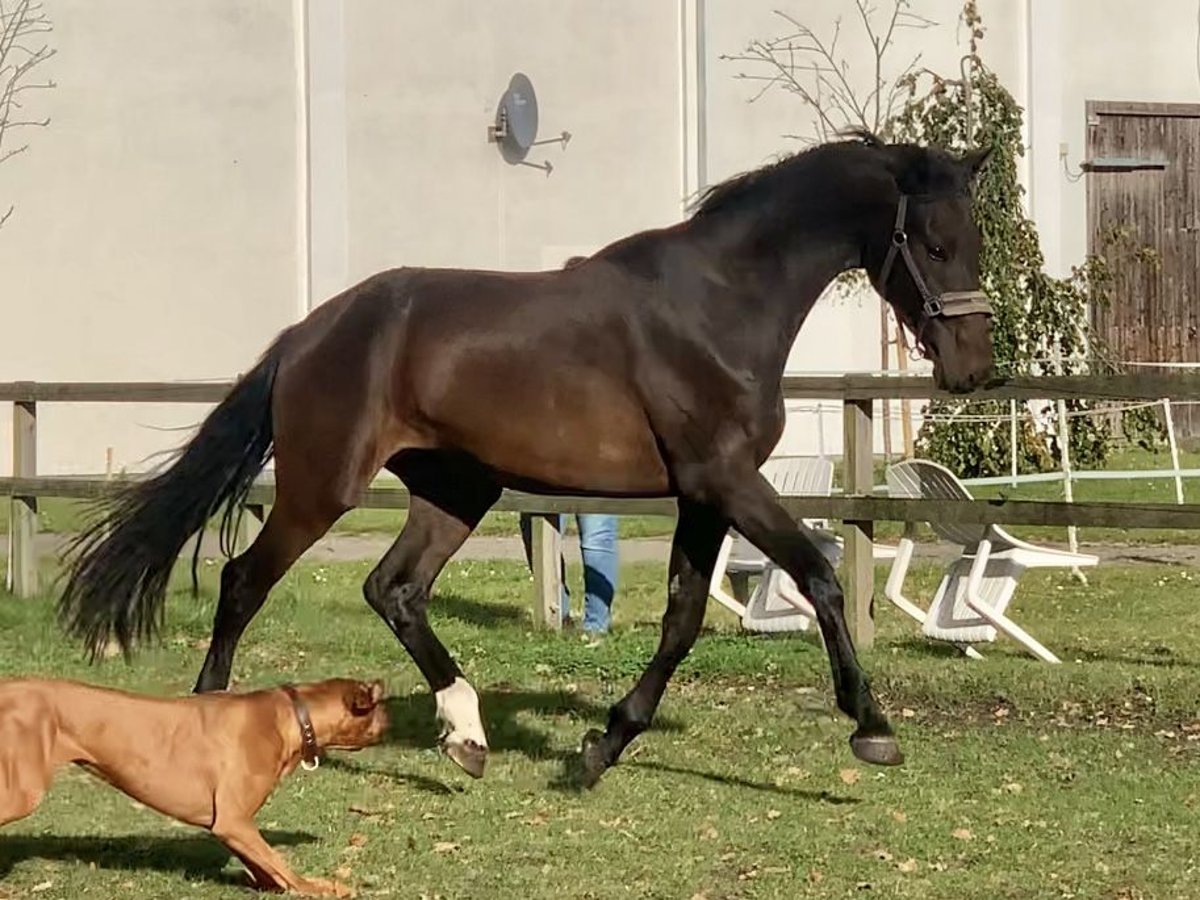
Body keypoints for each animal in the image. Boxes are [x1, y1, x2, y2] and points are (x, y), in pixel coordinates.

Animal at [0, 681, 386, 897]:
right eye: (380, 707)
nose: (390, 719)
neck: (293, 715)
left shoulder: (232, 827)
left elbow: (266, 867)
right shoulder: (233, 821)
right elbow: (281, 864)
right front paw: (319, 887)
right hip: (22, 792)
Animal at [56, 132, 993, 787]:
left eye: (976, 239)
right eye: (933, 243)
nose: (973, 368)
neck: (718, 303)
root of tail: (307, 333)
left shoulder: (702, 495)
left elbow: (683, 618)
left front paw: (599, 747)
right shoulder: (727, 479)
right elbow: (819, 575)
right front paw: (872, 727)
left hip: (455, 489)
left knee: (394, 589)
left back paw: (467, 736)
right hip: (321, 487)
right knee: (245, 581)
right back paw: (217, 715)